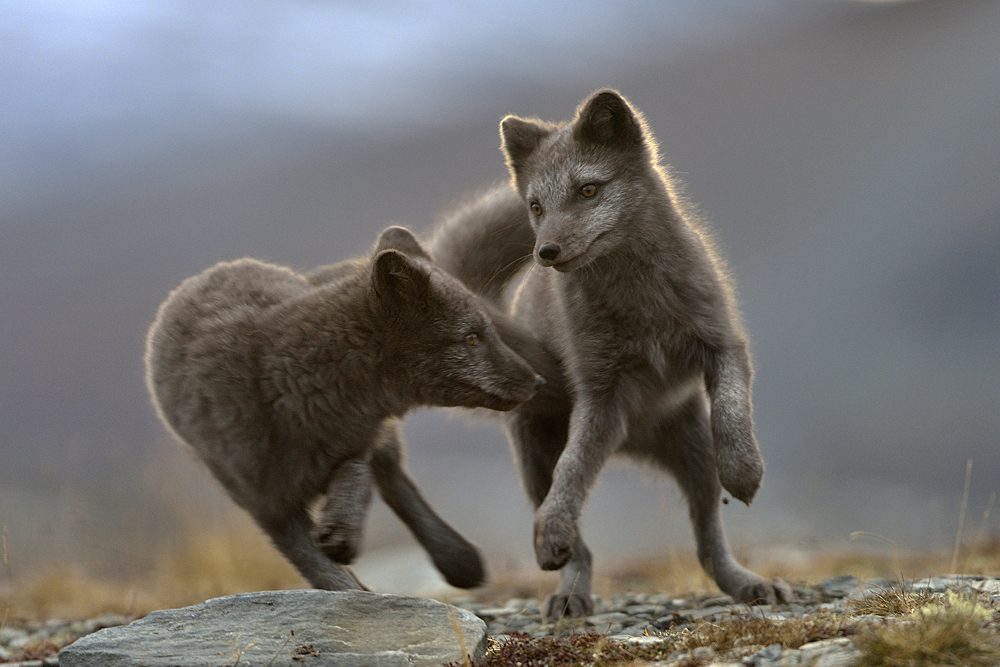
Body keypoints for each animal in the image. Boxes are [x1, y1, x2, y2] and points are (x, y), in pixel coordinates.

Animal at [142, 227, 544, 592]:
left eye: (487, 332)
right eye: (471, 337)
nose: (539, 381)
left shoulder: (359, 442)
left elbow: (356, 472)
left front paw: (341, 531)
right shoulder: (268, 503)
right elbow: (321, 570)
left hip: (382, 447)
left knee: (394, 480)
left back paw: (458, 559)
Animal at [428, 90, 788, 620]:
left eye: (588, 190)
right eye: (536, 205)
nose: (546, 252)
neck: (640, 301)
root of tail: (632, 444)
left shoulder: (723, 343)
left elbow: (731, 405)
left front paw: (744, 469)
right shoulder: (599, 394)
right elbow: (572, 469)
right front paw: (551, 532)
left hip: (696, 456)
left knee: (709, 544)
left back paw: (748, 584)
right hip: (537, 456)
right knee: (582, 543)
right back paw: (569, 590)